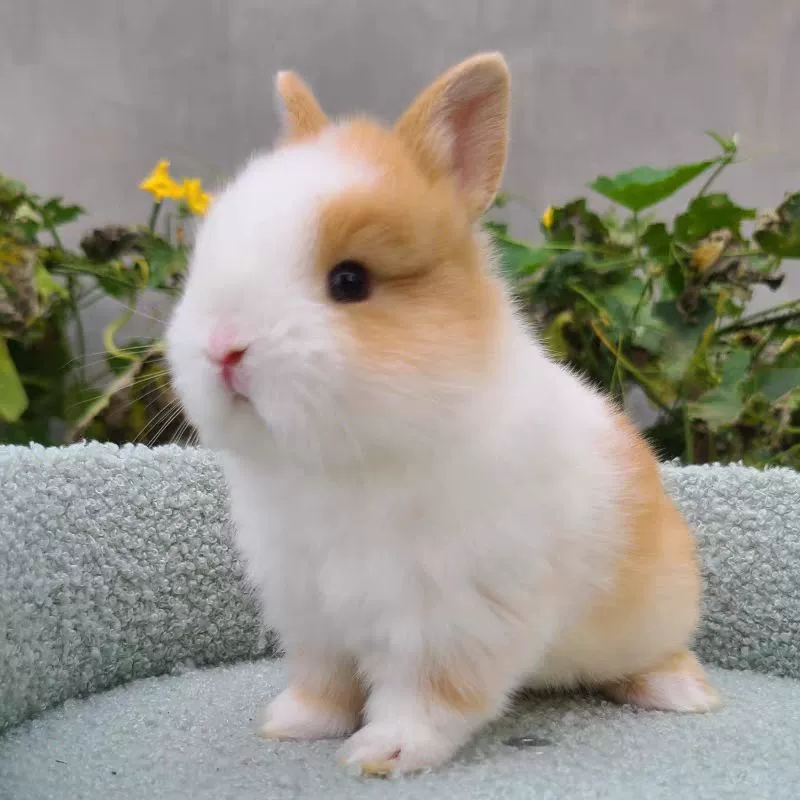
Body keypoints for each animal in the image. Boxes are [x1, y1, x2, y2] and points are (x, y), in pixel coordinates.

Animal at [166, 52, 719, 777]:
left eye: (350, 281)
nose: (223, 348)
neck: (344, 461)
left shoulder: (451, 617)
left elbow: (427, 696)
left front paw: (383, 753)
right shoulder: (310, 611)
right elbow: (324, 680)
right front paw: (293, 725)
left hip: (656, 613)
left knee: (662, 652)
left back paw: (682, 695)